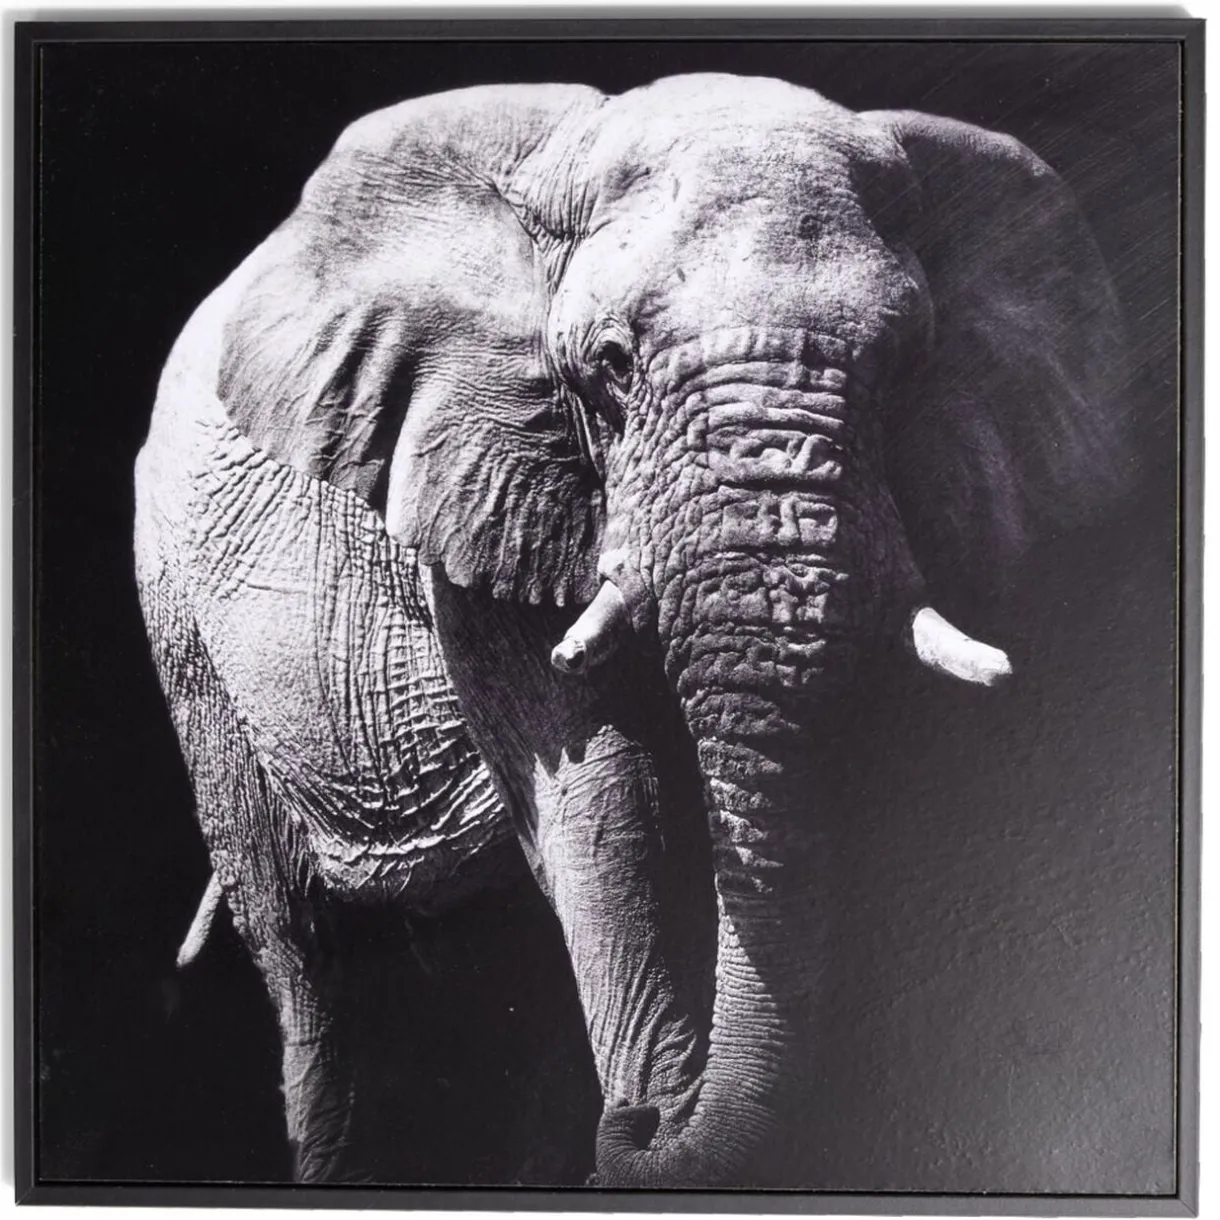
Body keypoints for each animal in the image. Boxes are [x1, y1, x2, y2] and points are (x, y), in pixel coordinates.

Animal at [134, 72, 1132, 1188]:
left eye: (905, 365)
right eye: (609, 367)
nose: (648, 1122)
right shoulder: (484, 477)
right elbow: (610, 798)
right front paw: (642, 1128)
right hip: (183, 624)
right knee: (303, 948)